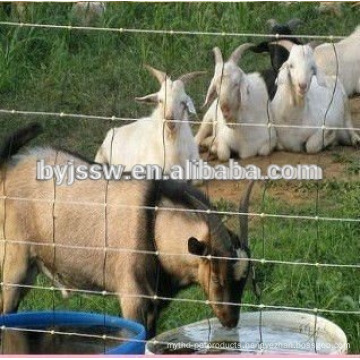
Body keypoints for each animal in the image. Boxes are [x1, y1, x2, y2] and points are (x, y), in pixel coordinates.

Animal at [0, 123, 253, 338]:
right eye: (216, 277)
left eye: (245, 279)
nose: (230, 321)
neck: (154, 224)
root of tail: (9, 169)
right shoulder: (133, 299)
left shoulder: (154, 306)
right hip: (15, 260)